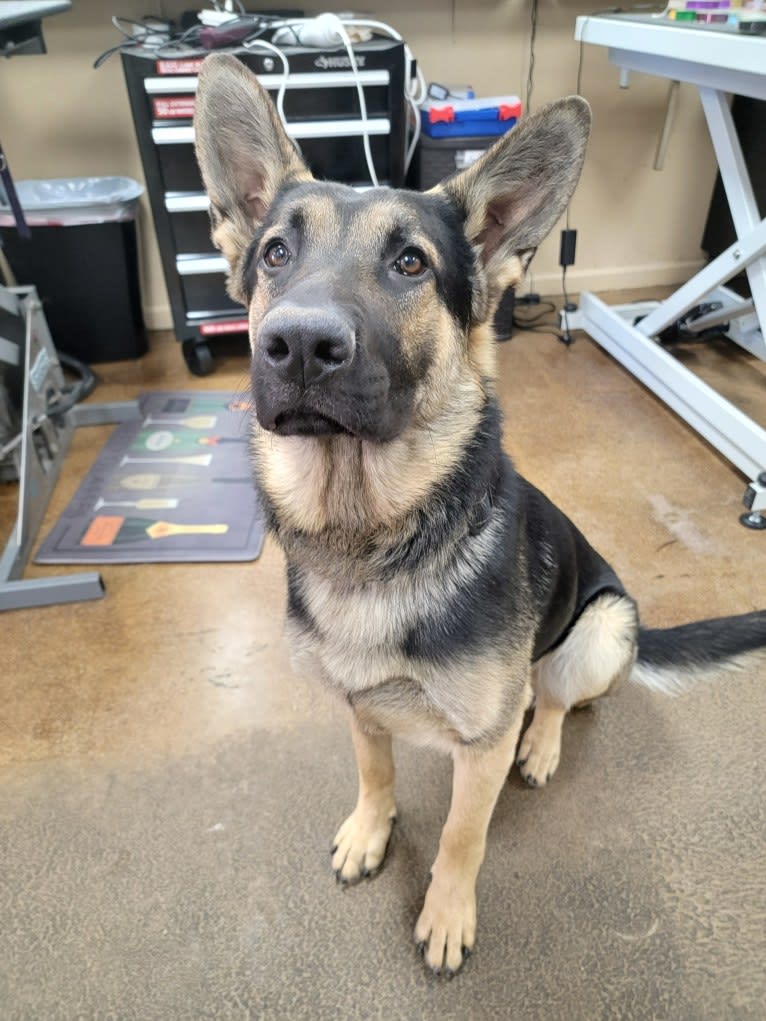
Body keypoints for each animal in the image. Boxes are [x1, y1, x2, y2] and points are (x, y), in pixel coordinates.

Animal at [196, 53, 766, 971]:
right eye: (277, 252)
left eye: (411, 264)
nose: (299, 345)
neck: (374, 534)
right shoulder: (360, 709)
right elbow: (375, 772)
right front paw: (372, 829)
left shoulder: (480, 750)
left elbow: (464, 835)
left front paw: (447, 912)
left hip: (602, 622)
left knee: (557, 697)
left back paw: (543, 743)